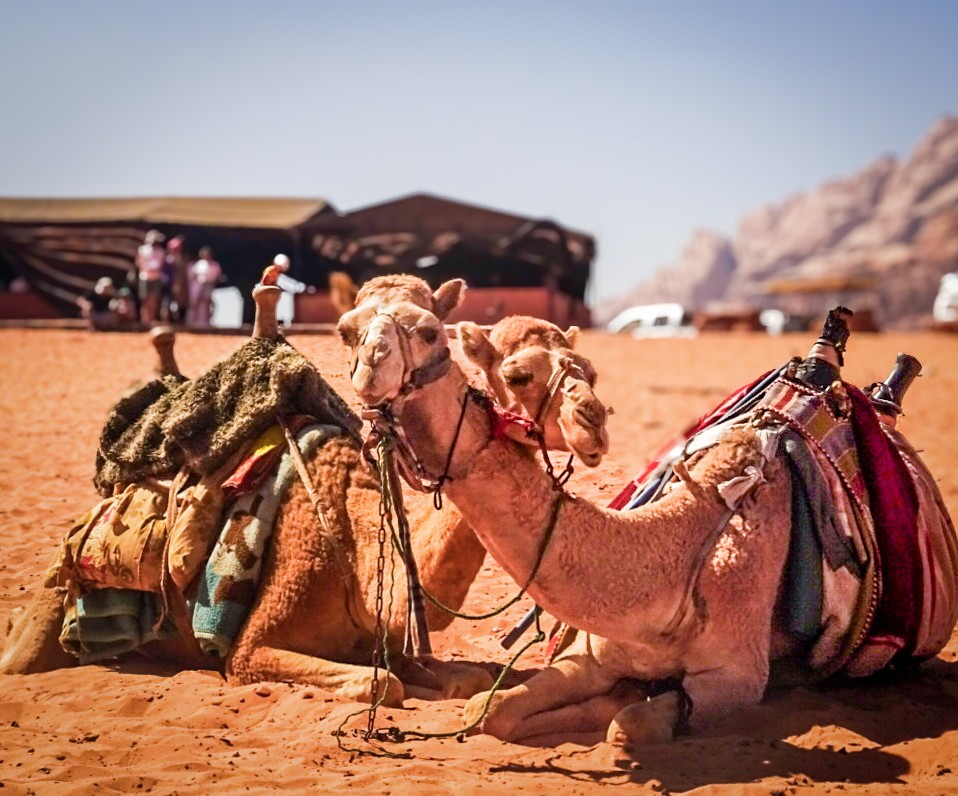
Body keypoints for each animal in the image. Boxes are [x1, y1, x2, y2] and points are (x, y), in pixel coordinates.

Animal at [1, 276, 616, 708]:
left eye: (588, 369)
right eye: (516, 374)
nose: (592, 418)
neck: (353, 552)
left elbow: (459, 678)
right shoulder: (250, 649)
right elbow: (381, 686)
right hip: (50, 610)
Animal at [336, 276, 952, 752]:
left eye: (428, 329)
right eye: (348, 329)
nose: (372, 367)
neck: (672, 566)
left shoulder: (734, 678)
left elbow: (628, 724)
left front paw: (621, 706)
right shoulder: (597, 652)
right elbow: (491, 711)